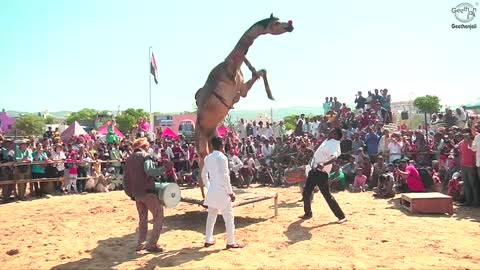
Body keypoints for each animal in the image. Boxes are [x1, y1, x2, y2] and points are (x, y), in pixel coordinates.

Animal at [194, 14, 292, 196]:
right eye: (275, 23)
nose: (290, 26)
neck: (232, 65)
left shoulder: (240, 92)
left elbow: (261, 71)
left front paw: (271, 95)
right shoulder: (238, 93)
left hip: (212, 136)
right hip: (201, 139)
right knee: (201, 164)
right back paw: (204, 197)